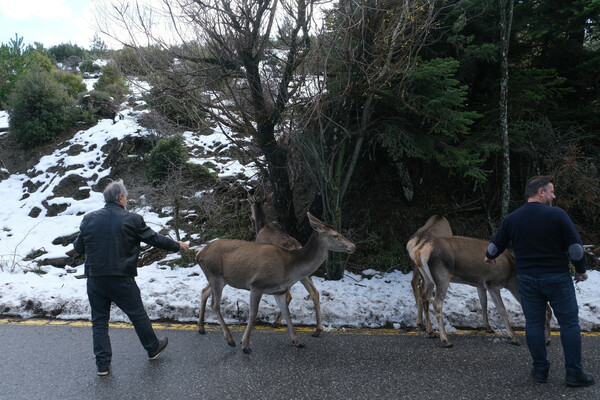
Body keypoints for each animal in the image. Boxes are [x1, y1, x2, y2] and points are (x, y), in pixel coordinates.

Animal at [196, 212, 356, 354]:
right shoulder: (257, 285)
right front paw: (245, 345)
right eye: (335, 235)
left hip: (221, 279)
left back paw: (201, 328)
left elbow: (287, 313)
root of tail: (199, 254)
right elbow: (253, 314)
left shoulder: (279, 290)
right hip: (215, 275)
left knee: (204, 291)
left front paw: (297, 341)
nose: (353, 246)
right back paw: (230, 339)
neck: (288, 267)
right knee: (215, 305)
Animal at [414, 236, 552, 348]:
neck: (510, 278)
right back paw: (445, 340)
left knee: (423, 295)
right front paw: (513, 337)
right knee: (436, 303)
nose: (548, 342)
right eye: (545, 319)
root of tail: (420, 251)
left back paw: (430, 331)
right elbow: (502, 309)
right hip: (442, 275)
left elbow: (483, 304)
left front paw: (488, 327)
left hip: (427, 277)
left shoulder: (480, 284)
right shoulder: (492, 283)